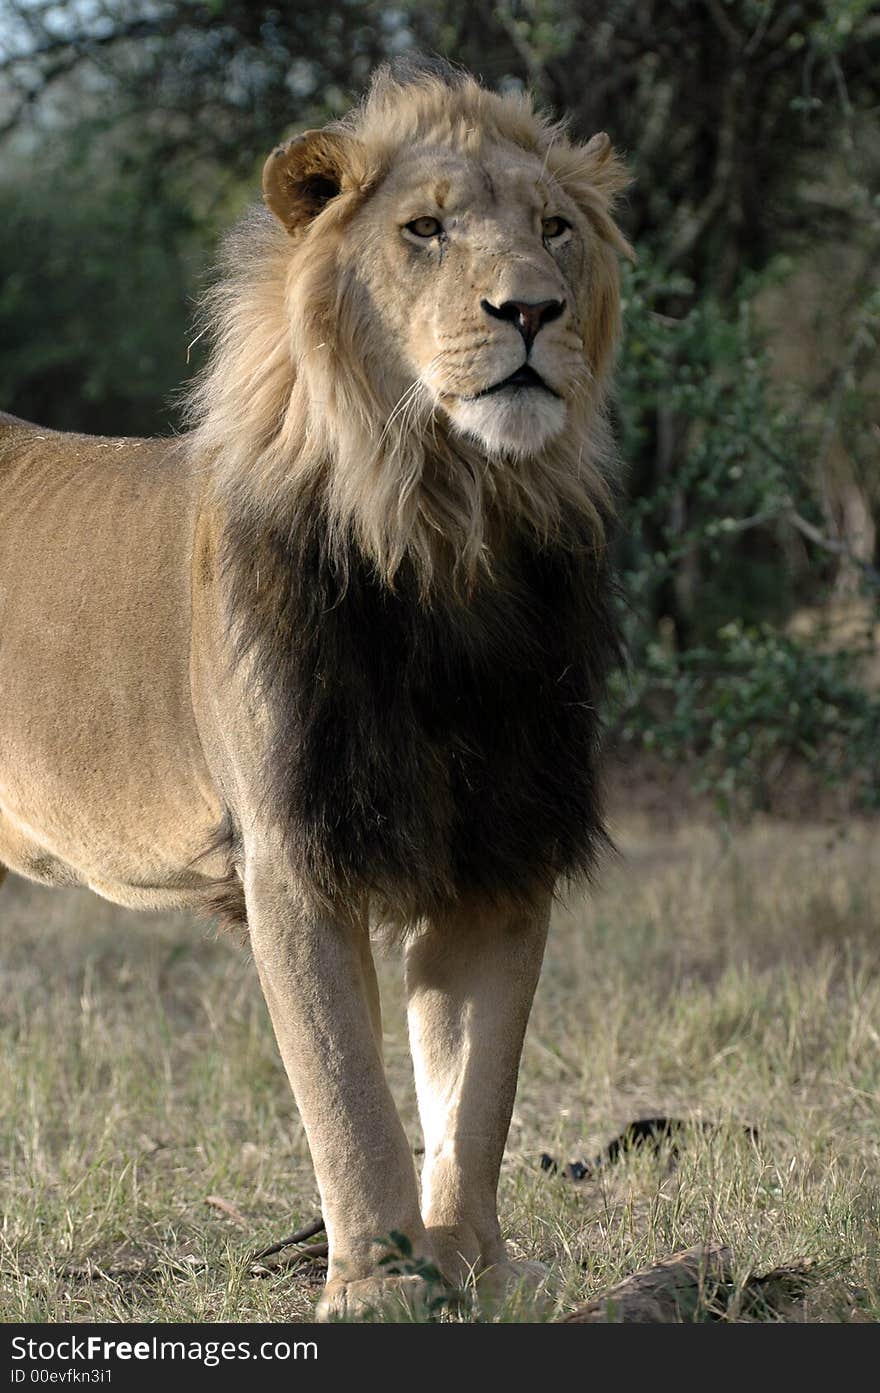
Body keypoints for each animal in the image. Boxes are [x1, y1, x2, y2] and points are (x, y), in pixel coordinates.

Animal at [0, 54, 632, 1314]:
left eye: (553, 229)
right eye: (424, 230)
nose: (529, 311)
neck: (449, 536)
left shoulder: (500, 852)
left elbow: (472, 1094)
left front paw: (478, 1272)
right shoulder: (292, 853)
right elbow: (348, 1094)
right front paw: (380, 1285)